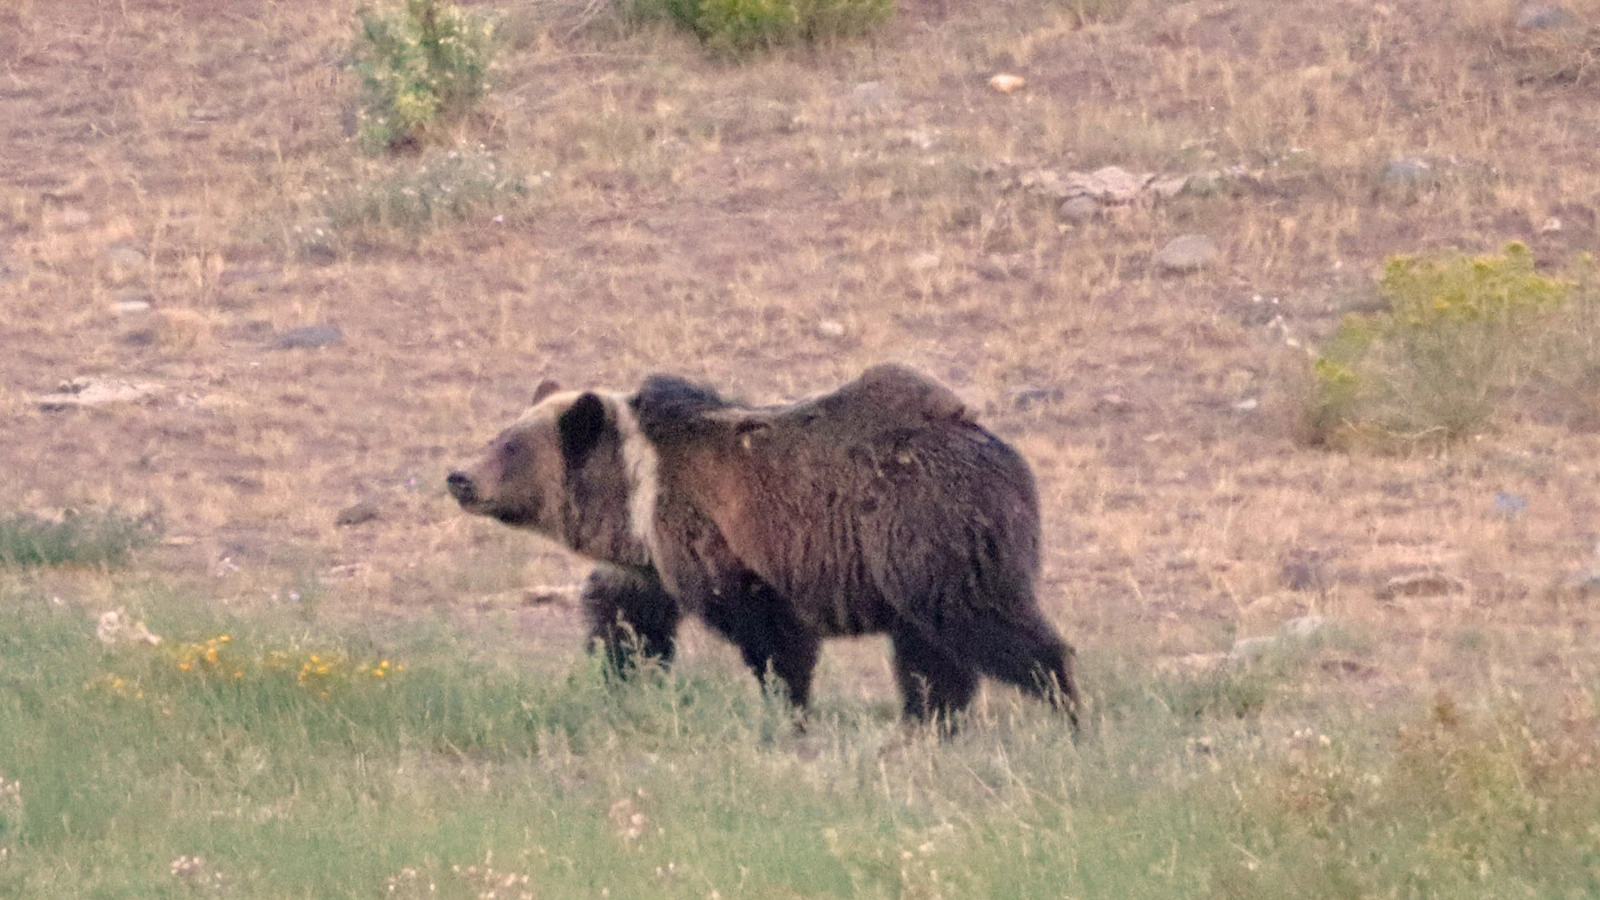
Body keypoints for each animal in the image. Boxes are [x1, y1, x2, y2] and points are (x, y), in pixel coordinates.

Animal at [447, 364, 1079, 729]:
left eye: (510, 446)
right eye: (498, 435)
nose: (458, 477)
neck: (635, 492)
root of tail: (998, 449)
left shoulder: (722, 538)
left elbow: (773, 636)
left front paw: (789, 710)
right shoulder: (644, 566)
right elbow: (628, 625)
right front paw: (618, 681)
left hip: (925, 531)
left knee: (987, 622)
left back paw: (1065, 707)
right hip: (910, 563)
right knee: (930, 652)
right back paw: (930, 722)